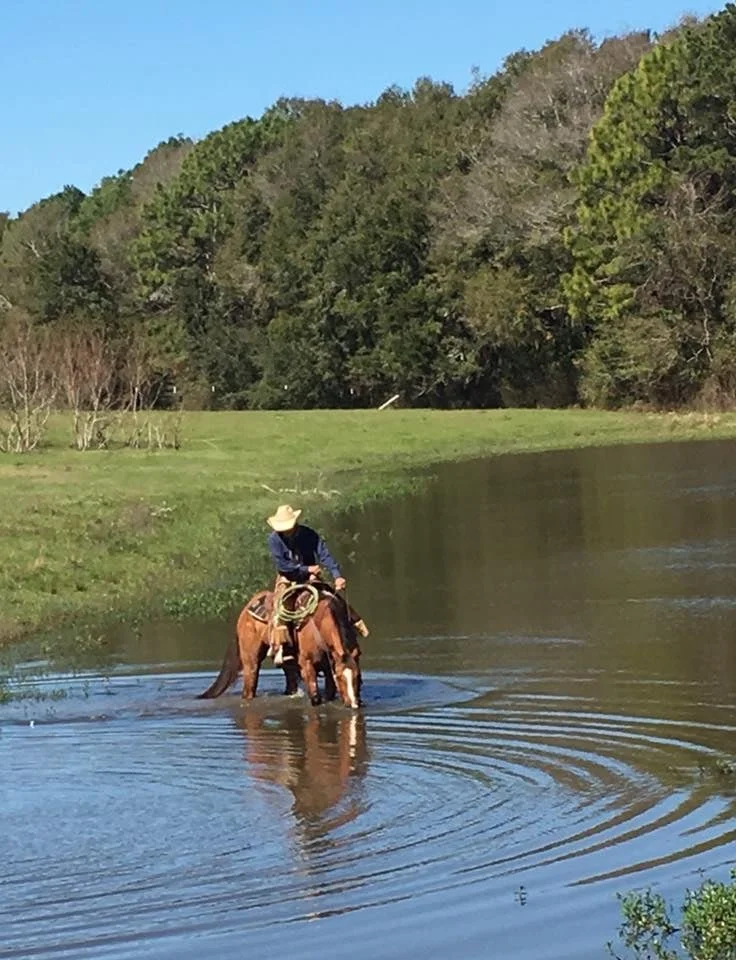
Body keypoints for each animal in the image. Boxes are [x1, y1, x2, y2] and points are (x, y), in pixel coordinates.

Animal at [197, 586, 362, 709]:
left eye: (358, 676)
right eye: (340, 678)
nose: (353, 704)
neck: (319, 624)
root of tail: (245, 611)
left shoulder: (329, 666)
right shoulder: (307, 664)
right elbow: (316, 698)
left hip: (287, 664)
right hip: (250, 662)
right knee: (248, 690)